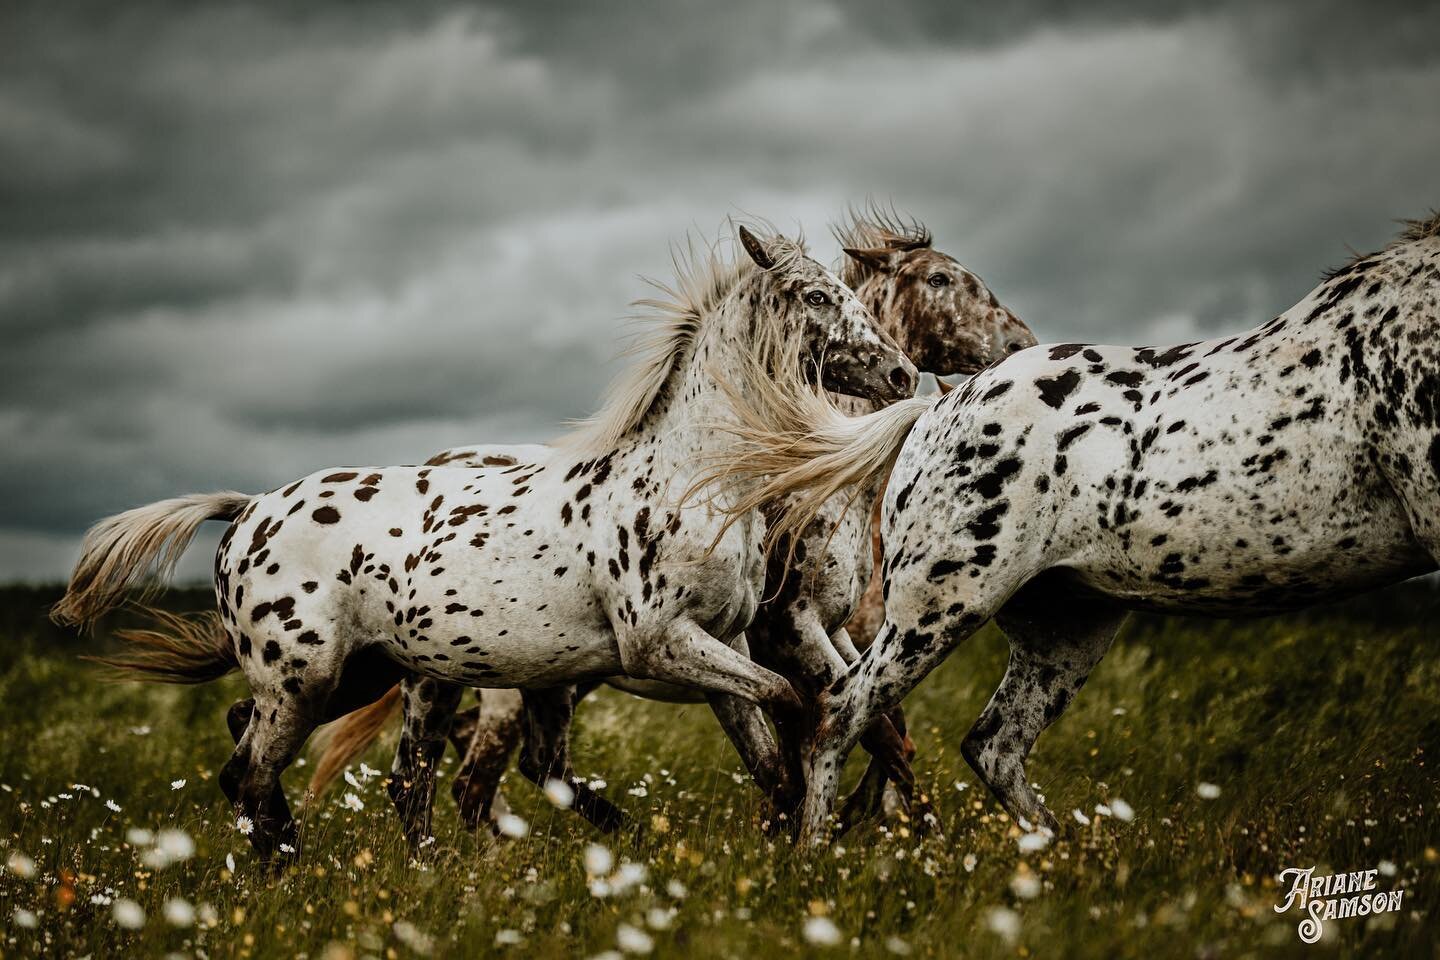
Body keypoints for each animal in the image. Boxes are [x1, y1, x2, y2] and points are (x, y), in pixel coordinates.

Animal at [56, 227, 915, 863]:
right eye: (818, 295)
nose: (904, 375)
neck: (692, 480)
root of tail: (248, 512)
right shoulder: (665, 645)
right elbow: (795, 702)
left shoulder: (723, 644)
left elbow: (771, 751)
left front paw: (790, 834)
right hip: (303, 683)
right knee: (252, 773)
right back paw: (284, 872)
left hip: (366, 675)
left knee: (381, 779)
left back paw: (413, 871)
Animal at [309, 211, 1042, 834]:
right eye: (941, 279)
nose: (1022, 341)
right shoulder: (789, 631)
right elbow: (853, 729)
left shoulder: (835, 634)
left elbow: (869, 729)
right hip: (467, 678)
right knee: (449, 776)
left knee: (511, 769)